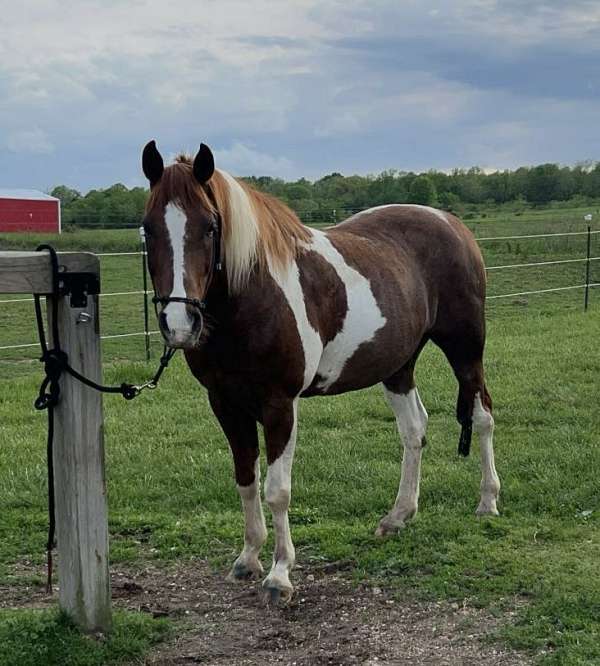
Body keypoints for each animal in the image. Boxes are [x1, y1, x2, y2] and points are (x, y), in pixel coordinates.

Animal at [138, 140, 500, 600]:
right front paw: (248, 558)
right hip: (399, 364)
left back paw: (488, 501)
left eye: (210, 226)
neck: (255, 297)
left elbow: (277, 490)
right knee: (414, 430)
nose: (180, 324)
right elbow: (245, 479)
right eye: (148, 228)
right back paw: (398, 516)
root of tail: (451, 222)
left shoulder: (279, 404)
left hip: (466, 350)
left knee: (482, 415)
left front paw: (279, 575)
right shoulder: (225, 404)